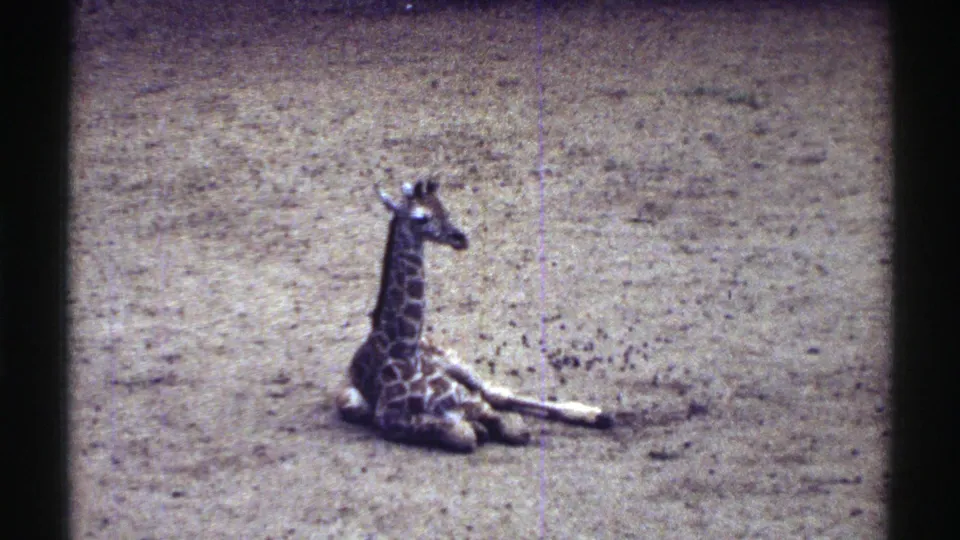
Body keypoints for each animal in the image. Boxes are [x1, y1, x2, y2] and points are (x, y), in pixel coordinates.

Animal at [336, 179, 614, 452]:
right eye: (421, 218)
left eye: (444, 209)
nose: (460, 238)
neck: (403, 350)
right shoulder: (390, 419)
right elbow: (465, 434)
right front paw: (475, 428)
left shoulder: (468, 399)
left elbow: (509, 427)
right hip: (352, 401)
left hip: (454, 361)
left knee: (493, 392)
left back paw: (597, 414)